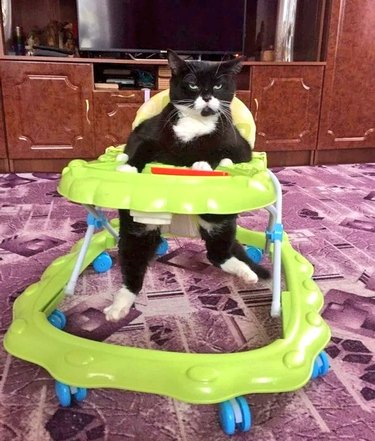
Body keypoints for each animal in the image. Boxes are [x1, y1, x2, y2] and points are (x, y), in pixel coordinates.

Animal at [105, 50, 270, 320]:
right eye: (192, 84)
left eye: (218, 85)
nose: (206, 96)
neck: (195, 124)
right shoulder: (146, 133)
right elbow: (138, 148)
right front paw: (128, 167)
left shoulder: (238, 145)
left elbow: (221, 155)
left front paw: (201, 164)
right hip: (139, 226)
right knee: (134, 265)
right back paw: (119, 306)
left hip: (219, 219)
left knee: (218, 253)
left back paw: (247, 272)